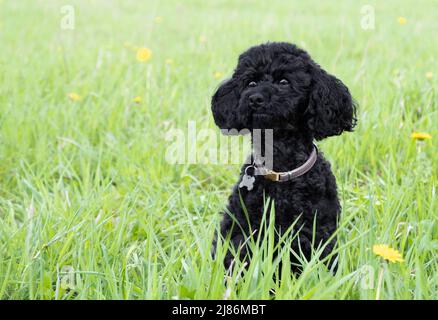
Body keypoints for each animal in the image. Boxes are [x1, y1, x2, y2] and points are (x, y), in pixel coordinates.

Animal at [210, 42, 358, 272]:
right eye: (251, 82)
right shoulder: (241, 229)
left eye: (284, 82)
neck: (280, 168)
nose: (255, 98)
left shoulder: (315, 231)